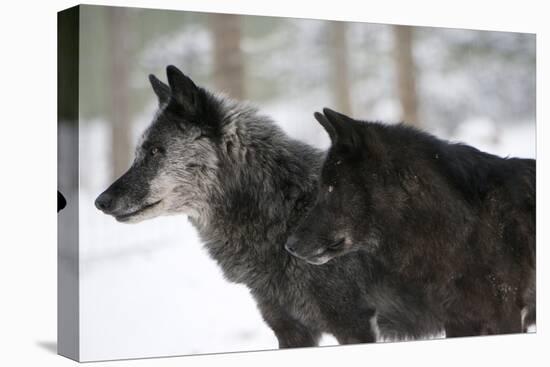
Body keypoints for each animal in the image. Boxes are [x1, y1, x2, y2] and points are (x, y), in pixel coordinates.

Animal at [95, 65, 444, 348]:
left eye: (155, 151)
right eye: (140, 151)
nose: (100, 202)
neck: (287, 213)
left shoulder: (353, 325)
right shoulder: (289, 330)